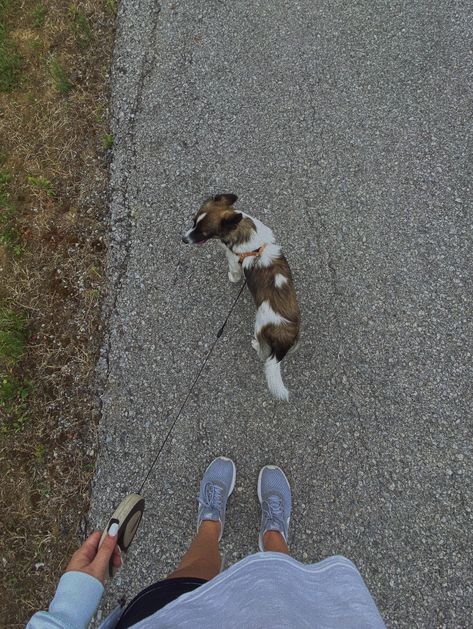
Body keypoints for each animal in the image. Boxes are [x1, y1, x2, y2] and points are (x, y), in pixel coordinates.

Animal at [181, 191, 298, 400]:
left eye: (203, 233)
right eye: (193, 222)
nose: (183, 239)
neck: (243, 230)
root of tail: (285, 336)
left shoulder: (234, 262)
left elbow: (234, 274)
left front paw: (231, 278)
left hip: (259, 327)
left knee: (262, 352)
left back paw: (255, 345)